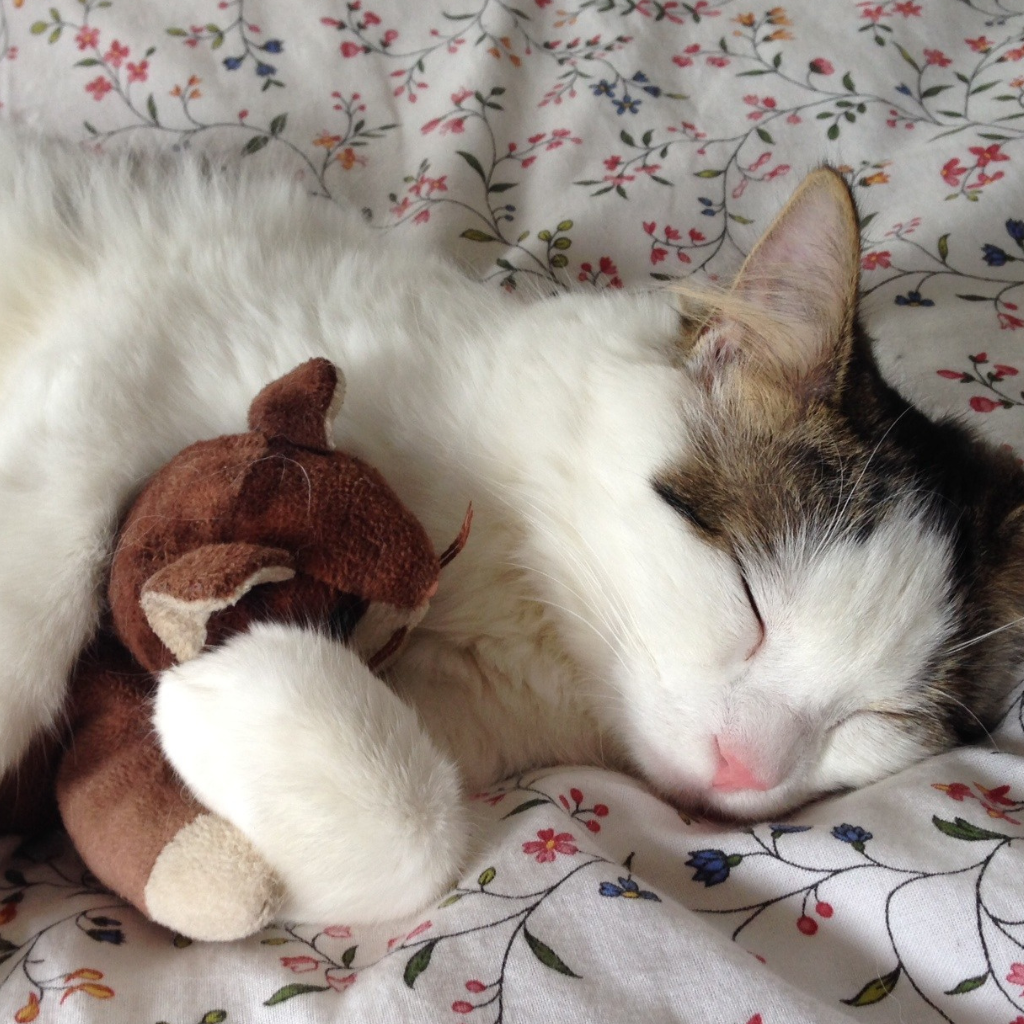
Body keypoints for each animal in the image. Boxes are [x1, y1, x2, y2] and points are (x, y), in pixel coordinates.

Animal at [2, 123, 1024, 933]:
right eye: (749, 597)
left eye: (881, 721)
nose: (743, 770)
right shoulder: (125, 353)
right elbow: (40, 591)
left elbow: (413, 845)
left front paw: (227, 684)